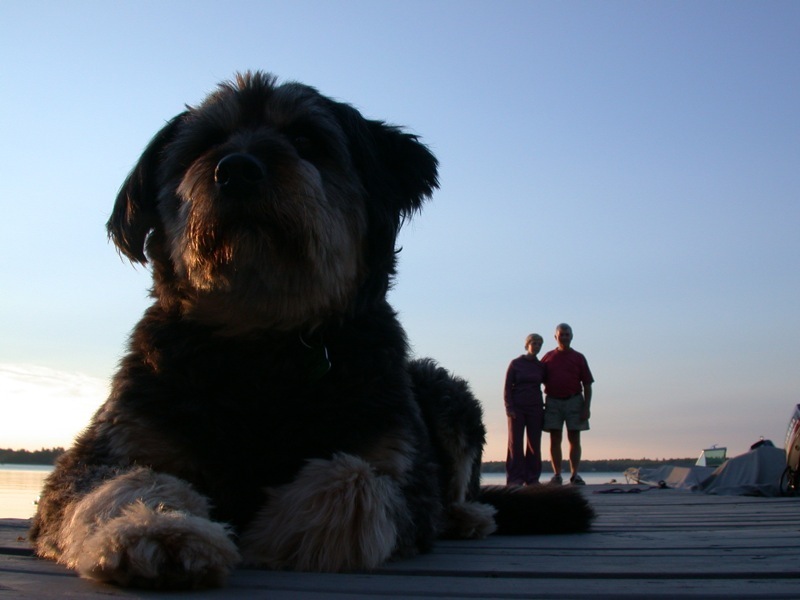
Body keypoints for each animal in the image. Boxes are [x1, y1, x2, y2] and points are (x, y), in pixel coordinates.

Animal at [29, 72, 592, 588]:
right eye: (205, 145)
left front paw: (272, 531)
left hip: (446, 391)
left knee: (462, 491)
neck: (262, 342)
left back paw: (470, 516)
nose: (236, 170)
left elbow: (354, 478)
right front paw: (160, 531)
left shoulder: (402, 467)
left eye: (305, 140)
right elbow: (126, 483)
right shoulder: (109, 447)